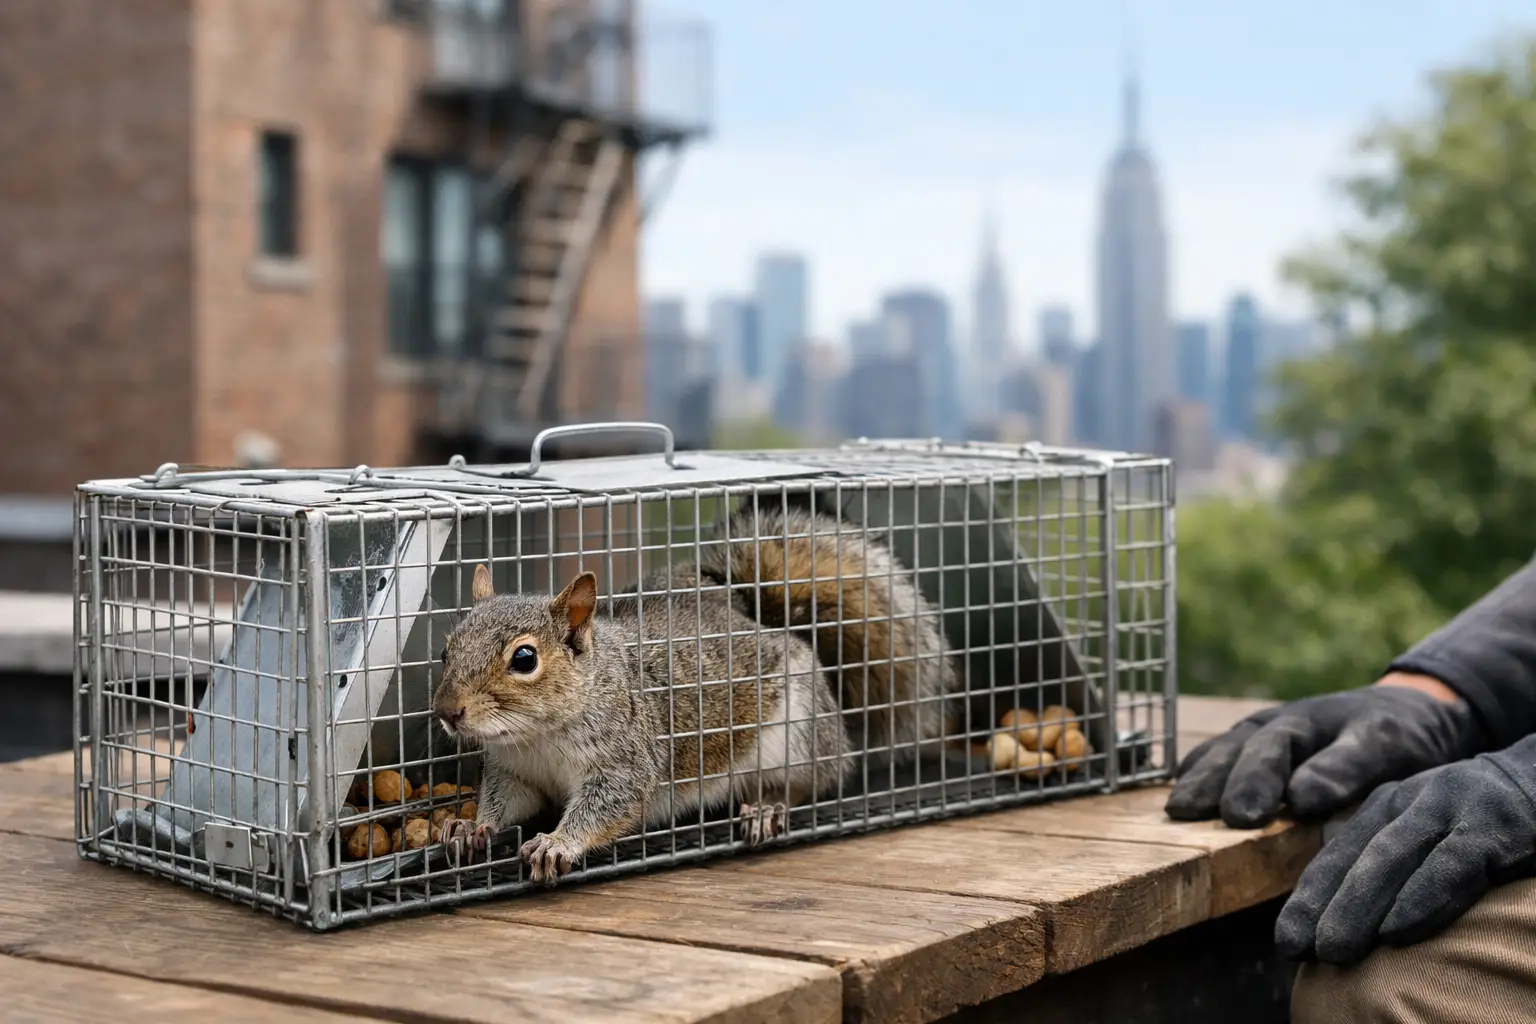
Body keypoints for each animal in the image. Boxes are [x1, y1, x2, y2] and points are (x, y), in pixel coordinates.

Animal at [430, 506, 958, 884]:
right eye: (444, 649)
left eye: (524, 659)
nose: (448, 712)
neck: (535, 737)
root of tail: (754, 618)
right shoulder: (514, 771)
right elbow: (504, 802)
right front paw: (470, 828)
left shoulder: (626, 758)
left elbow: (609, 805)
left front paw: (556, 843)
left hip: (798, 733)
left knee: (811, 782)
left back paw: (768, 807)